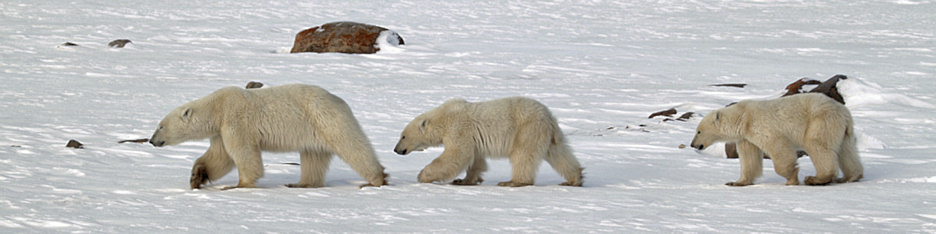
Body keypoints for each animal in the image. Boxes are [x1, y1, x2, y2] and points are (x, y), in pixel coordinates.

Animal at [150, 84, 388, 190]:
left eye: (160, 126)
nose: (152, 140)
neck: (218, 107)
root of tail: (340, 100)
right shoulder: (220, 131)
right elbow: (219, 157)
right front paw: (196, 177)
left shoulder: (236, 121)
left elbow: (242, 153)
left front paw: (239, 185)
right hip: (313, 132)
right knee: (313, 156)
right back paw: (301, 184)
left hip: (326, 118)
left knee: (352, 146)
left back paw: (375, 179)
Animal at [394, 96, 584, 186]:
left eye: (403, 136)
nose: (396, 150)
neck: (443, 117)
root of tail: (548, 116)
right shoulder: (472, 138)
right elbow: (475, 159)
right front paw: (464, 180)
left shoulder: (458, 129)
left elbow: (456, 155)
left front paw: (422, 175)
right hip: (546, 134)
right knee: (559, 154)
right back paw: (574, 179)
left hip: (526, 129)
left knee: (522, 156)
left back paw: (512, 182)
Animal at [688, 93, 864, 186]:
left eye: (699, 131)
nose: (693, 144)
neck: (743, 117)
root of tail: (844, 113)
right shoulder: (746, 137)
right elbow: (749, 159)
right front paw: (736, 182)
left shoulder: (760, 126)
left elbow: (778, 147)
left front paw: (791, 177)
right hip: (842, 130)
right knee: (846, 151)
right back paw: (850, 177)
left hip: (820, 121)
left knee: (817, 145)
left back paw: (816, 178)